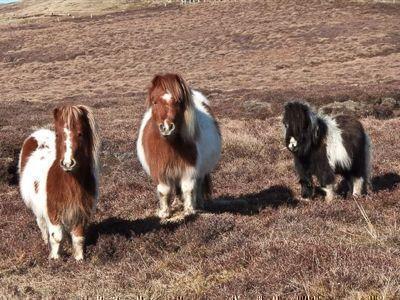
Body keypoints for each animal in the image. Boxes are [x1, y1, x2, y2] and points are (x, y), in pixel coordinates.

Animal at [18, 105, 100, 260]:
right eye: (57, 135)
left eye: (80, 134)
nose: (67, 163)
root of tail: (38, 132)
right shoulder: (53, 212)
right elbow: (57, 236)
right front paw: (55, 259)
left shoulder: (80, 211)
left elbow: (78, 237)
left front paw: (79, 259)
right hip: (37, 207)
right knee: (42, 224)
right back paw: (45, 242)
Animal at [136, 72, 220, 218]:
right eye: (154, 101)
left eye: (178, 101)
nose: (167, 127)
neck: (170, 145)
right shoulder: (161, 170)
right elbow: (164, 191)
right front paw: (165, 213)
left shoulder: (189, 169)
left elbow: (188, 188)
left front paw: (189, 211)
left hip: (200, 170)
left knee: (198, 184)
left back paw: (199, 203)